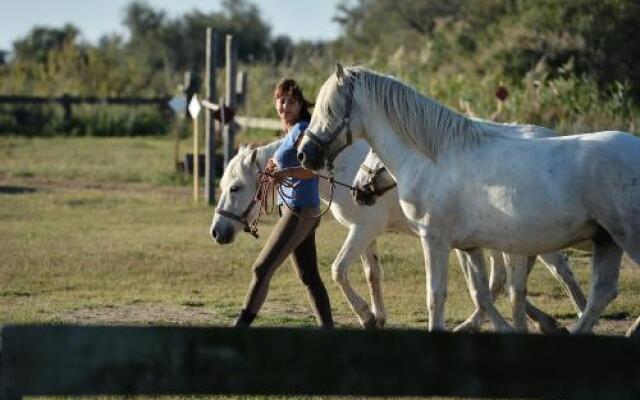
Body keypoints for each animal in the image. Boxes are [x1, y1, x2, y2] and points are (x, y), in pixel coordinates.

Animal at [211, 138, 584, 332]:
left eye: (236, 187)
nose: (217, 232)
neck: (343, 171)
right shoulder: (367, 234)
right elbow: (371, 273)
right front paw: (378, 316)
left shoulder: (363, 229)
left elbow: (338, 271)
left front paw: (366, 315)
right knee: (501, 281)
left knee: (560, 272)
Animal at [298, 65, 640, 334]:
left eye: (330, 110)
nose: (304, 154)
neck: (436, 159)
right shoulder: (469, 246)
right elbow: (482, 293)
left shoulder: (433, 239)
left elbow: (436, 295)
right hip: (606, 240)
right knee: (600, 294)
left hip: (620, 239)